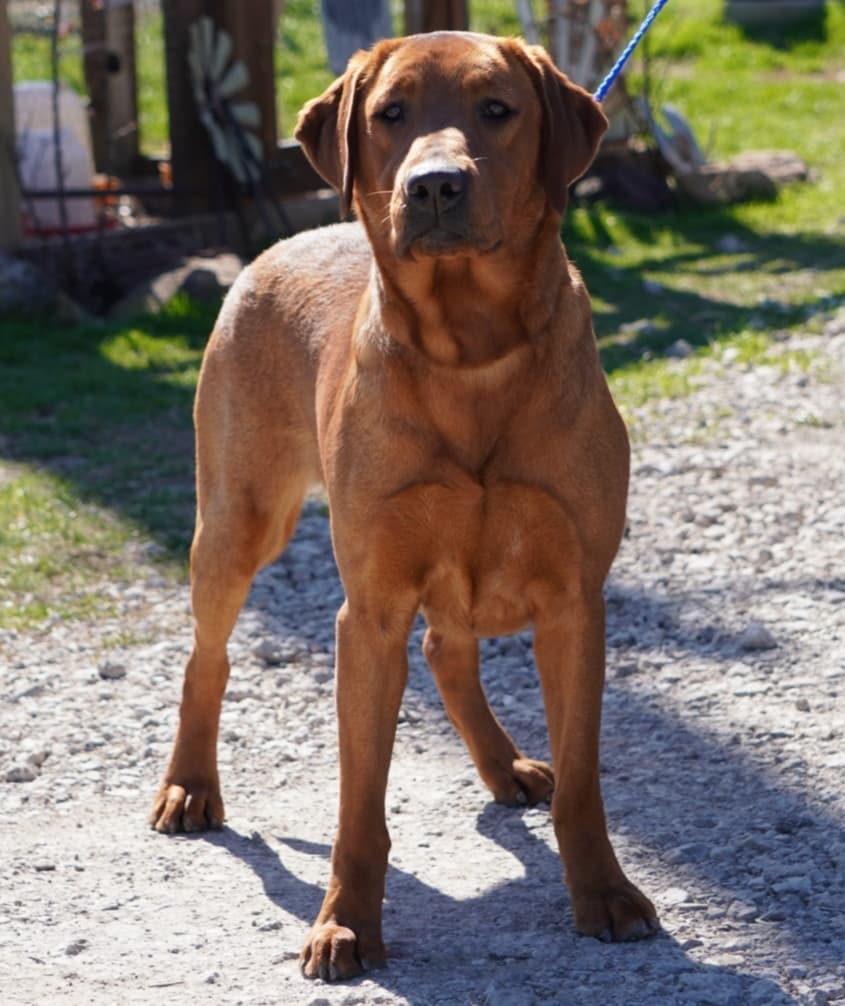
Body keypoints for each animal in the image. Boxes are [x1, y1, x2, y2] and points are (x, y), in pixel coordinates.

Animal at [151, 33, 659, 981]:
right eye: (390, 114)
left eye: (497, 109)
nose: (433, 185)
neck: (469, 352)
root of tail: (273, 247)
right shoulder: (371, 609)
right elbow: (359, 805)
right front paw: (345, 922)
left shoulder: (574, 600)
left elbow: (581, 783)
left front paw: (603, 894)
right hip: (238, 522)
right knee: (208, 656)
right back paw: (191, 784)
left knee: (446, 647)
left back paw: (501, 765)